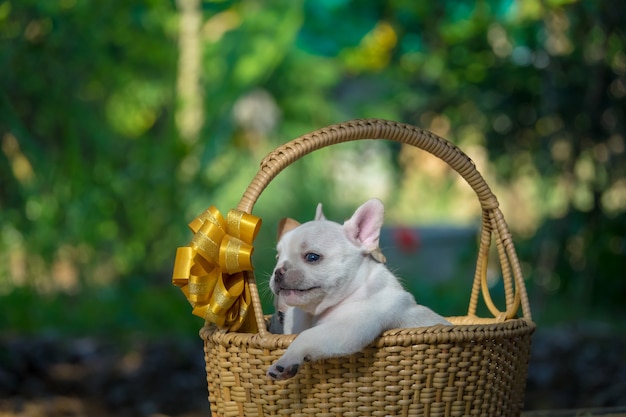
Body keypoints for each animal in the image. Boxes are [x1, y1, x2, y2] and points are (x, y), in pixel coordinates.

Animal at [266, 199, 446, 380]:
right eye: (277, 257)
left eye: (312, 257)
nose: (278, 271)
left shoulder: (350, 327)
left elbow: (306, 336)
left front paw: (286, 360)